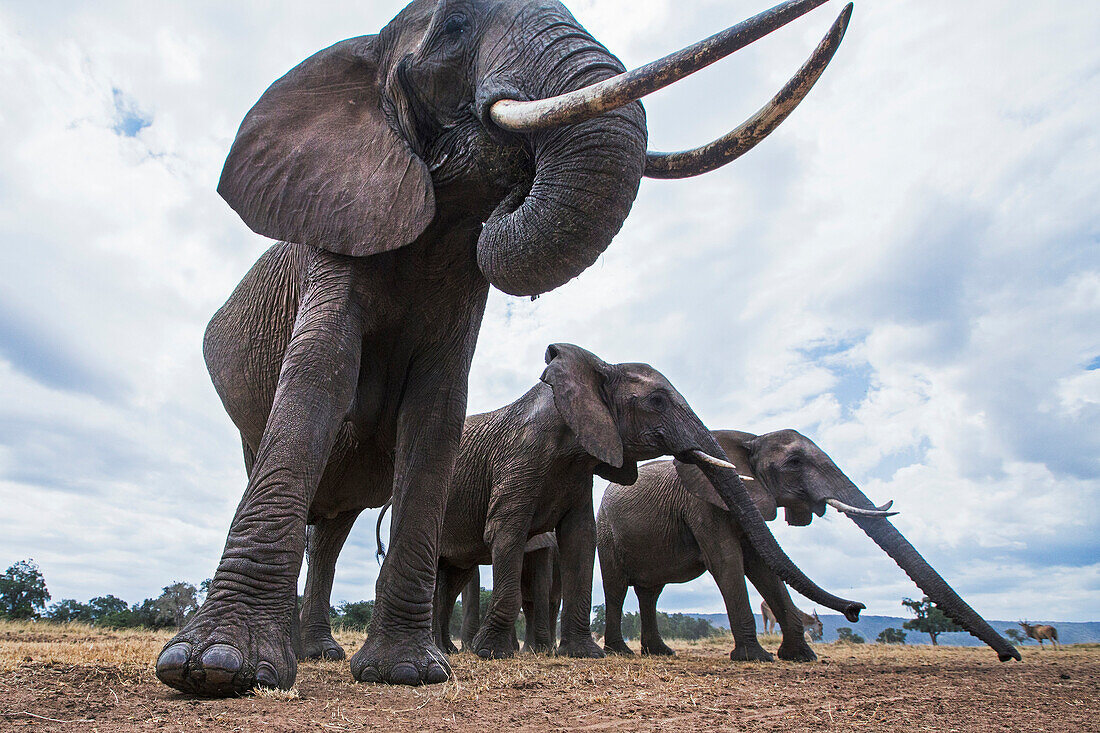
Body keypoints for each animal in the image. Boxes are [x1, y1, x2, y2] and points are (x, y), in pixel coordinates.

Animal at [157, 0, 858, 691]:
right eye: (454, 26)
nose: (854, 613)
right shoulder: (335, 227)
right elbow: (321, 374)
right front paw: (214, 669)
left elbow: (441, 405)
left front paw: (408, 673)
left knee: (336, 527)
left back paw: (323, 654)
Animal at [602, 429, 1020, 660]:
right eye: (795, 462)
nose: (855, 609)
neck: (748, 440)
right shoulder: (701, 503)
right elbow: (727, 561)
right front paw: (755, 658)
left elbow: (763, 565)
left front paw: (801, 657)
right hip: (608, 532)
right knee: (619, 586)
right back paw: (623, 652)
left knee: (650, 592)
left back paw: (660, 653)